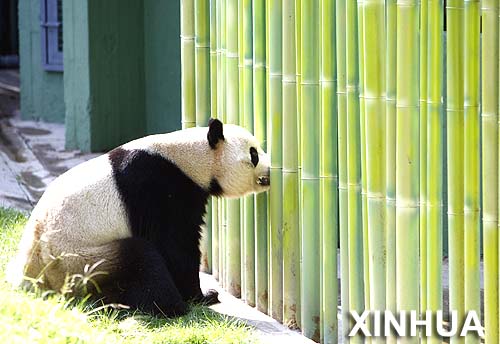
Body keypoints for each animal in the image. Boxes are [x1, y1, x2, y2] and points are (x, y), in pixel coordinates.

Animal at [6, 119, 270, 318]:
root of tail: (31, 277)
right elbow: (175, 246)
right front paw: (203, 296)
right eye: (253, 154)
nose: (270, 170)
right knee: (141, 259)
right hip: (78, 261)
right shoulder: (161, 190)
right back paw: (171, 307)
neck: (191, 158)